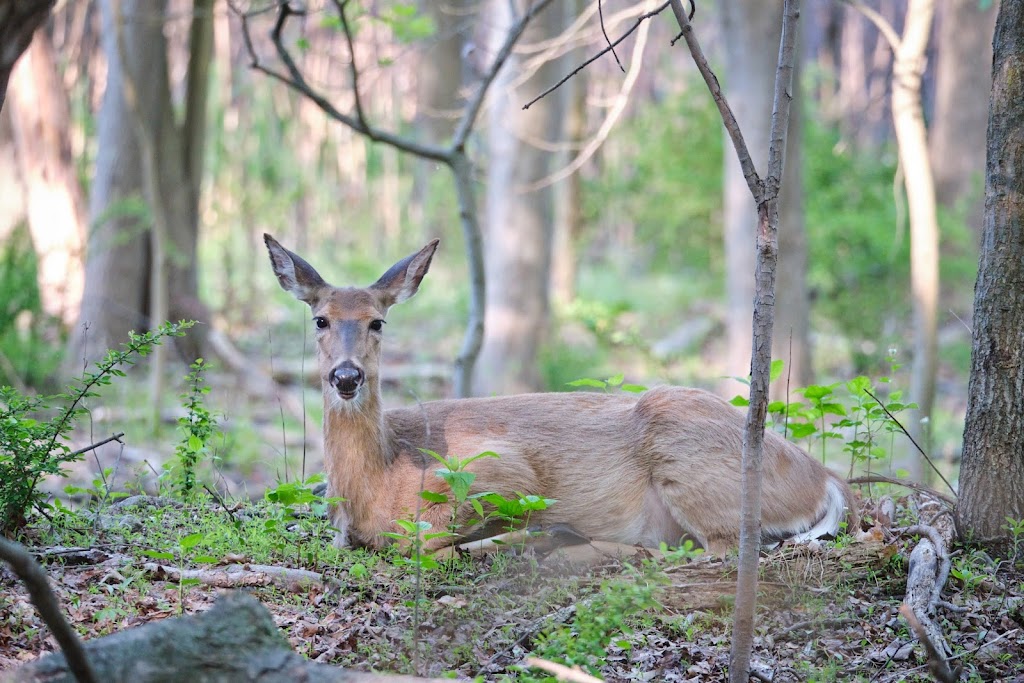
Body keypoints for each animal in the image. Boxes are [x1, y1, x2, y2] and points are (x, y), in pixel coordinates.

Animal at [264, 235, 856, 557]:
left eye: (378, 322)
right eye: (320, 319)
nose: (346, 377)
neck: (380, 478)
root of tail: (824, 478)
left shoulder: (499, 470)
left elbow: (427, 540)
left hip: (695, 464)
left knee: (718, 550)